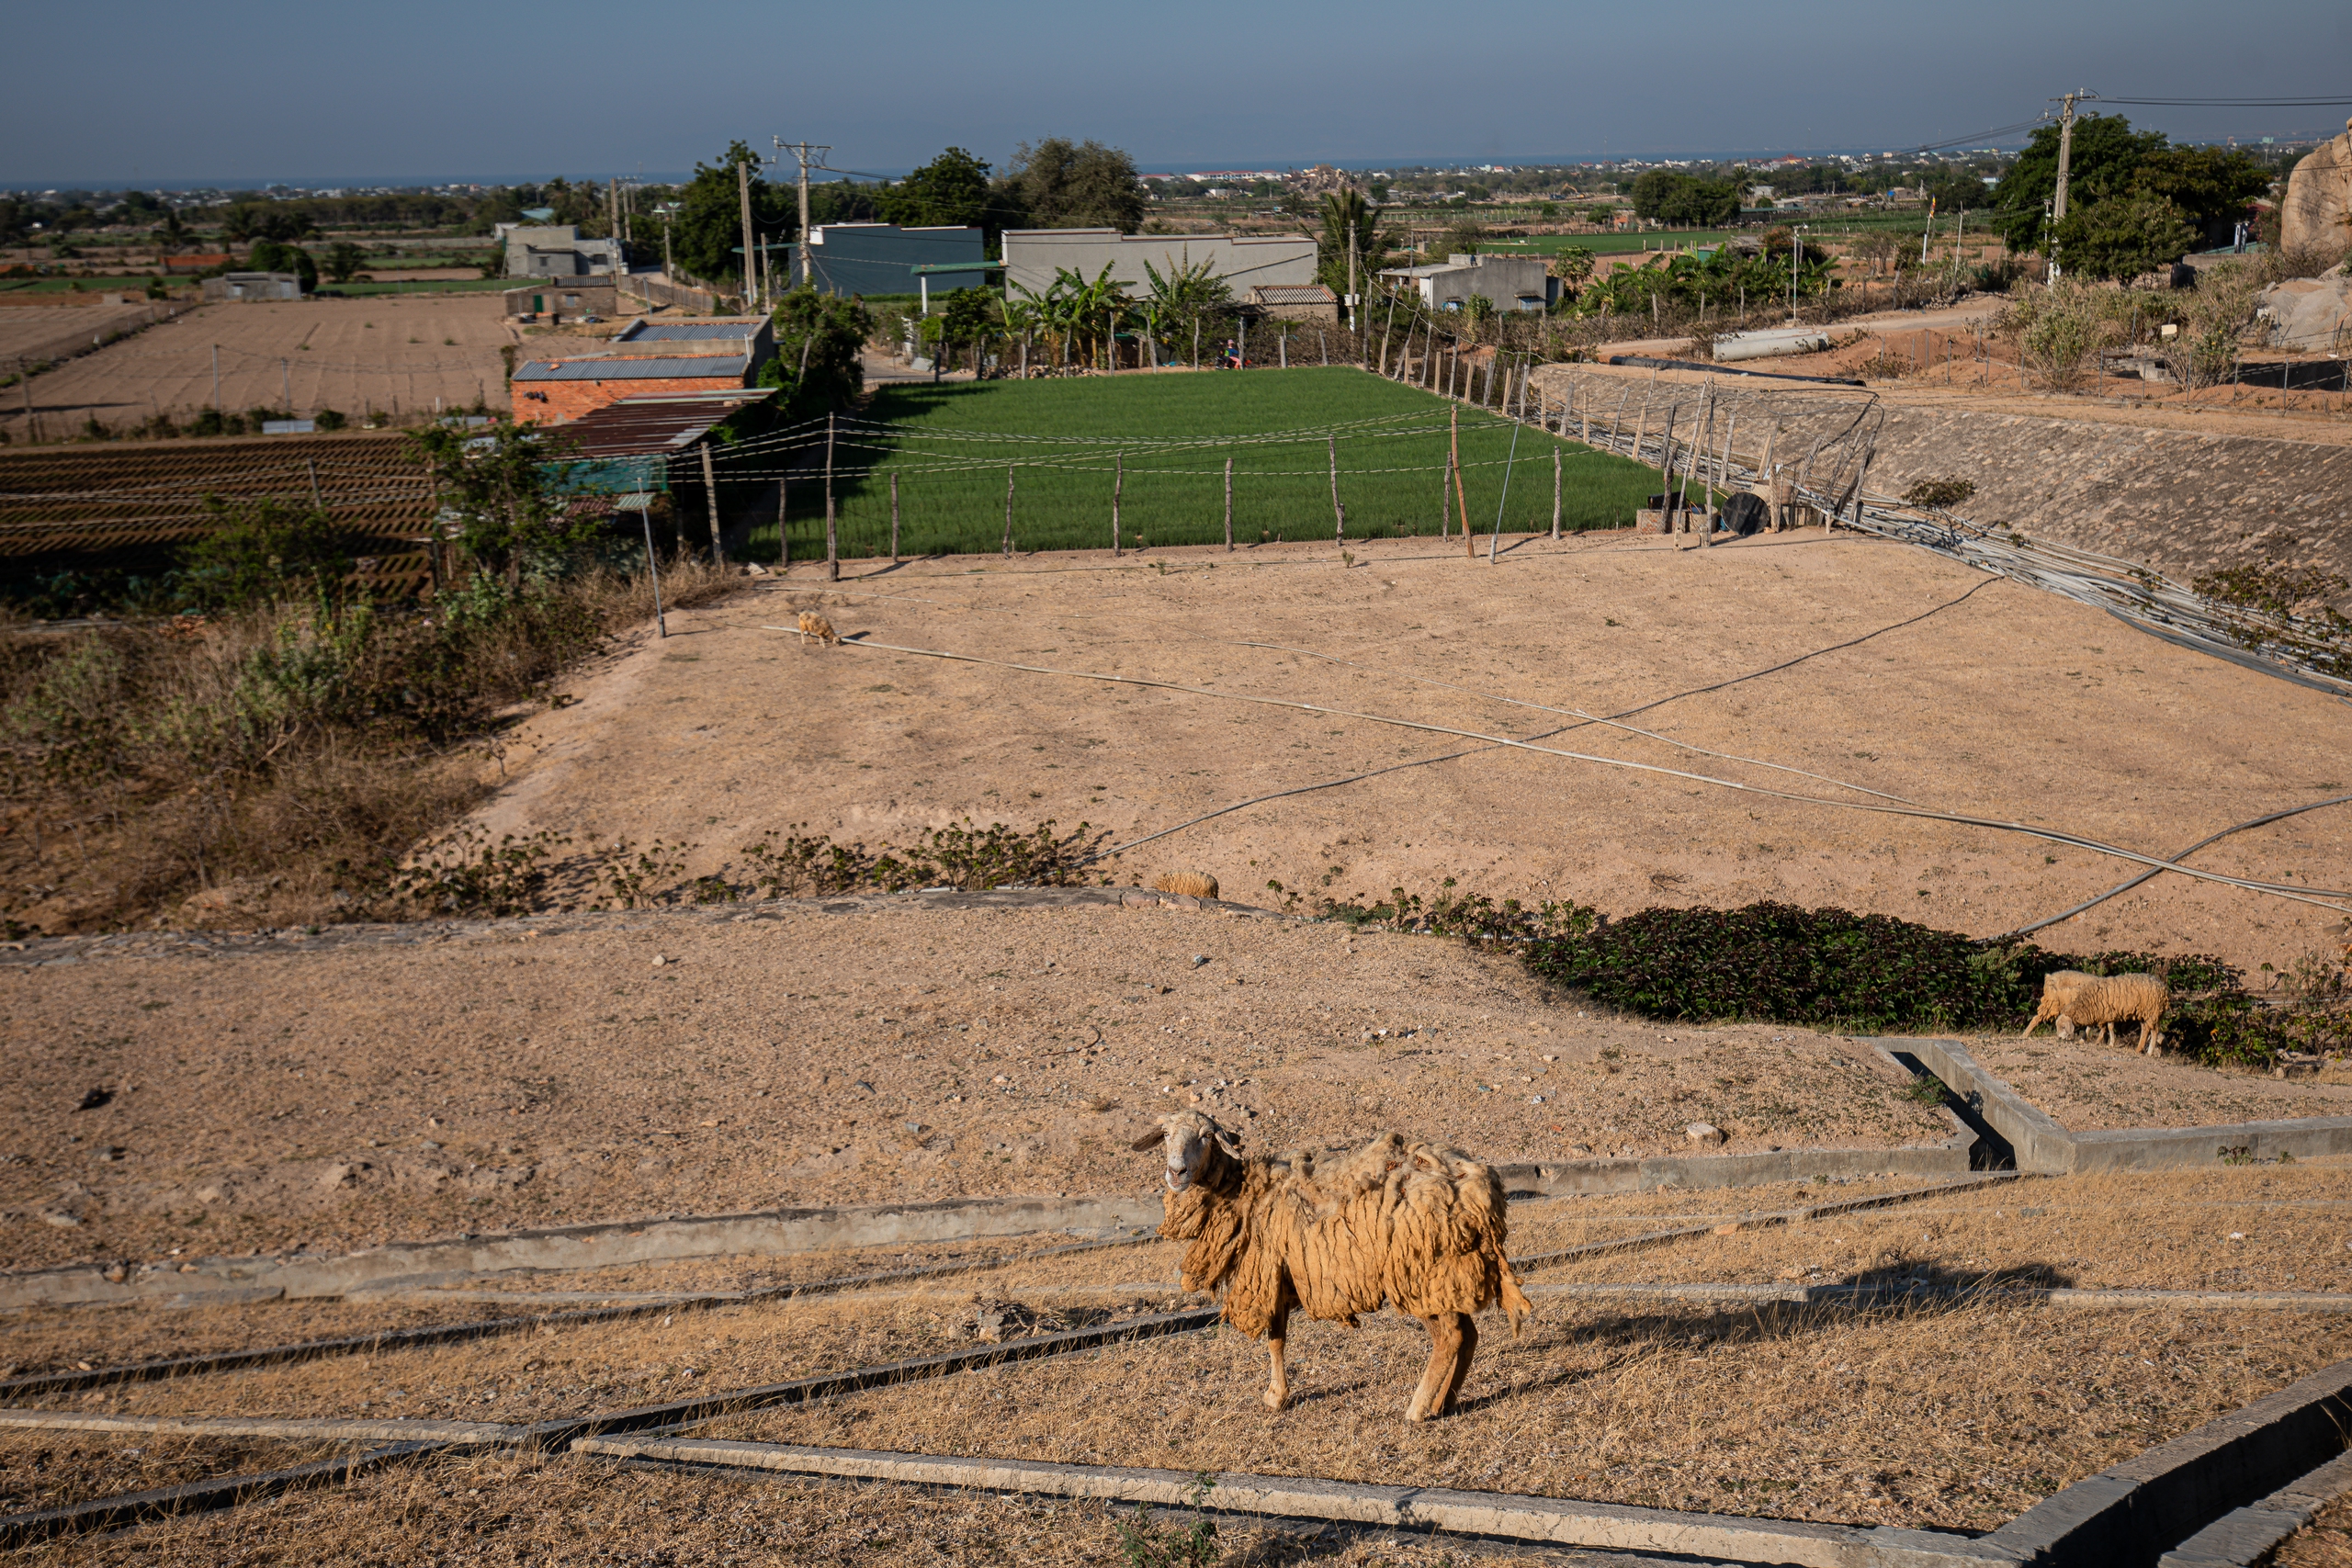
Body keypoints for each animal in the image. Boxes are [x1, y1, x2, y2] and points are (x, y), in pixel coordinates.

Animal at [1133, 1109, 1533, 1429]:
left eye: (1205, 1136)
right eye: (1165, 1134)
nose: (1176, 1172)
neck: (1244, 1191)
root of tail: (1481, 1189)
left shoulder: (1267, 1272)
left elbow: (1274, 1340)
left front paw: (1276, 1396)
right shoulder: (1283, 1273)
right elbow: (1277, 1339)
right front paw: (1278, 1396)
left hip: (1419, 1271)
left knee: (1450, 1337)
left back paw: (1418, 1409)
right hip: (1447, 1275)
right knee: (1469, 1335)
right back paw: (1446, 1402)